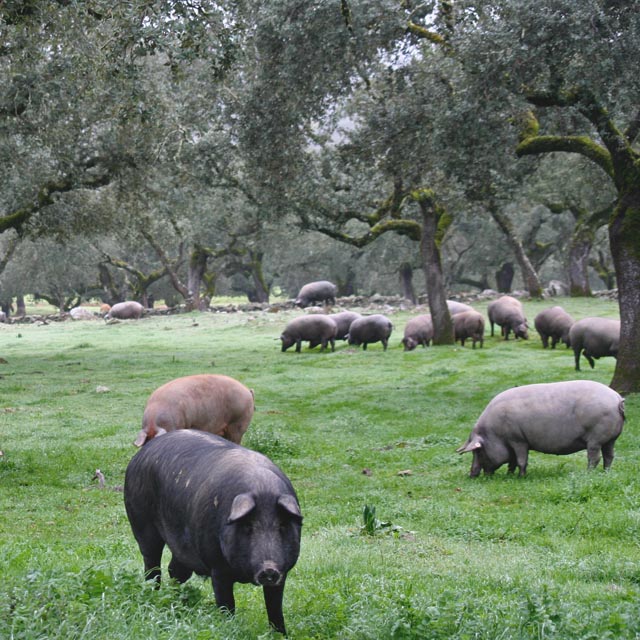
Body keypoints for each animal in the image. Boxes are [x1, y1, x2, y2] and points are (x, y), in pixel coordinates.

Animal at [127, 430, 304, 636]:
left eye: (282, 527)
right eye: (248, 527)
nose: (268, 568)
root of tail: (140, 454)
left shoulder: (282, 573)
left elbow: (275, 608)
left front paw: (281, 635)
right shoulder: (217, 566)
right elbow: (226, 604)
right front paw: (229, 628)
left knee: (175, 571)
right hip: (141, 523)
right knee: (152, 564)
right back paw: (153, 595)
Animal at [456, 380, 624, 476]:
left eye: (478, 450)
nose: (471, 474)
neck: (494, 433)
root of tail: (617, 399)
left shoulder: (518, 440)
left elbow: (521, 460)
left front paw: (521, 477)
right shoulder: (512, 442)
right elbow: (512, 461)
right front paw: (509, 475)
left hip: (595, 438)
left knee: (594, 457)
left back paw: (588, 474)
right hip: (610, 439)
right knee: (609, 456)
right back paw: (606, 474)